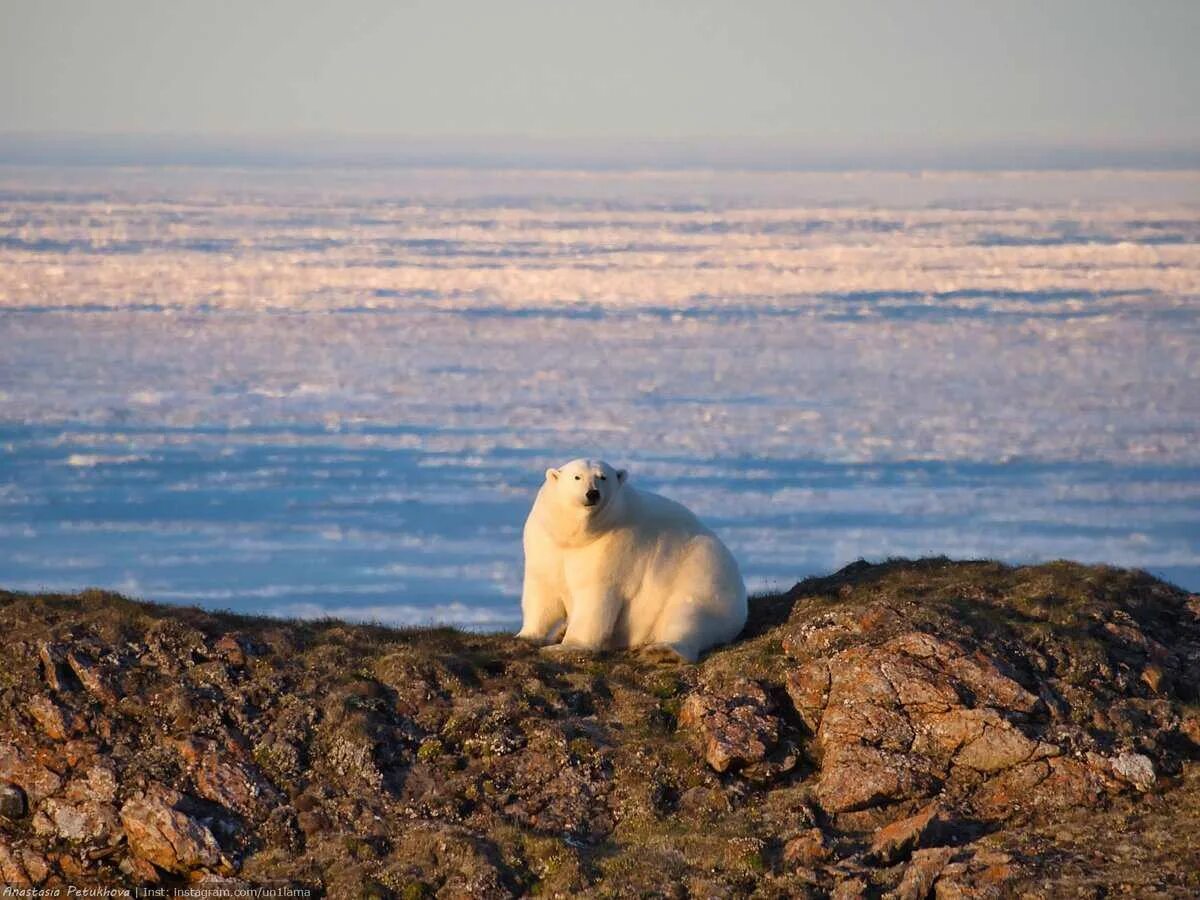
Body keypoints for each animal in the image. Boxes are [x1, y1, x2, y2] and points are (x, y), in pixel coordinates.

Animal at [518, 458, 744, 662]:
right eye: (577, 477)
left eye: (603, 477)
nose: (592, 493)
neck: (579, 536)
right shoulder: (546, 543)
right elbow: (543, 591)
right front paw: (526, 635)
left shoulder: (613, 547)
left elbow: (595, 595)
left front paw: (568, 646)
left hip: (701, 578)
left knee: (687, 615)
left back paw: (662, 650)